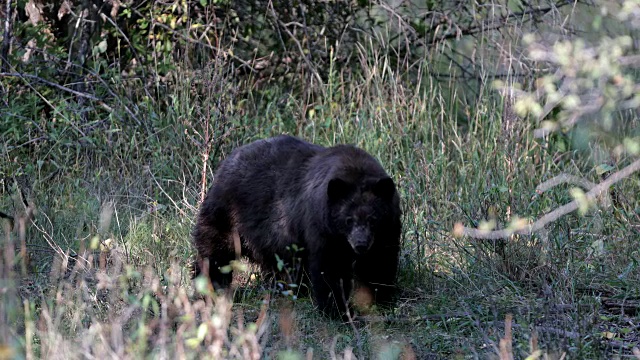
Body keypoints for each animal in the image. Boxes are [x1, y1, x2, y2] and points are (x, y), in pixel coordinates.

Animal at [192, 134, 400, 318]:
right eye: (348, 219)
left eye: (373, 219)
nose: (361, 244)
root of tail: (227, 161)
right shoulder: (321, 228)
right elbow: (330, 267)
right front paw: (337, 310)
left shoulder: (387, 231)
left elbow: (380, 262)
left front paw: (379, 300)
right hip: (227, 214)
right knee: (215, 253)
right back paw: (209, 288)